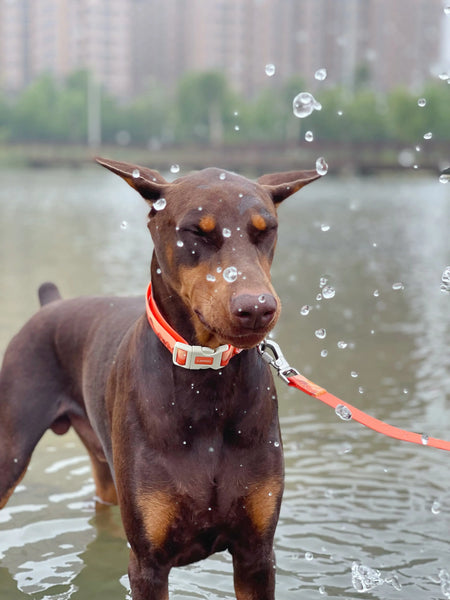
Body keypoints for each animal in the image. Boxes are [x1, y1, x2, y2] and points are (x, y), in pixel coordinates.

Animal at [1, 161, 322, 600]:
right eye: (196, 232)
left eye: (265, 229)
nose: (257, 309)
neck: (205, 382)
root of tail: (51, 302)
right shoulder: (148, 562)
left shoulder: (256, 553)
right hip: (10, 450)